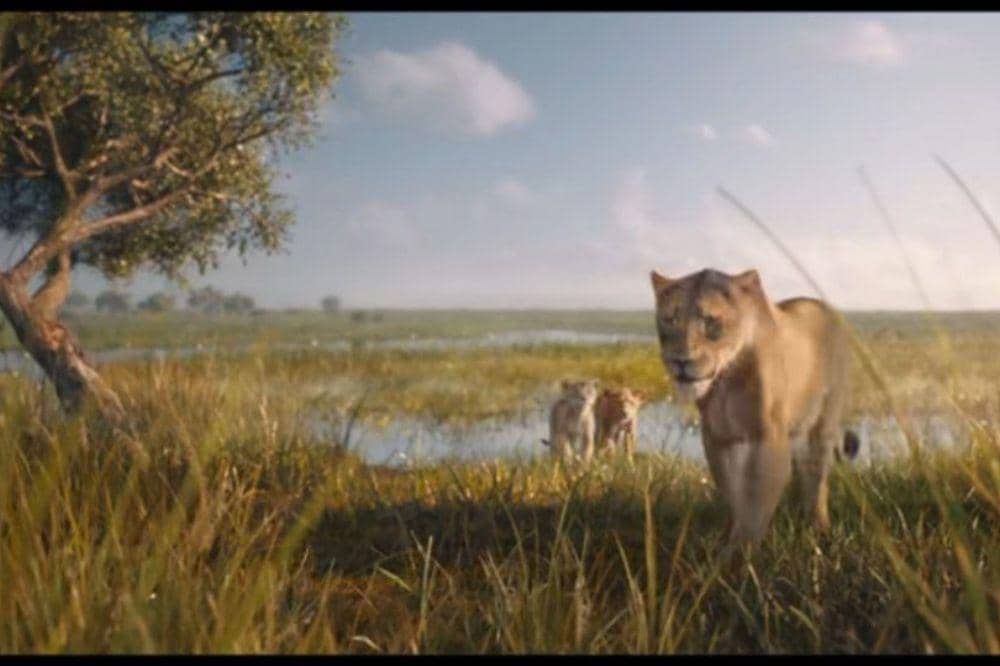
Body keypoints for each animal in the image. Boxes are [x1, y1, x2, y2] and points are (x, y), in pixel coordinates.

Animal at [649, 267, 859, 558]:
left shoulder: (767, 438)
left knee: (816, 476)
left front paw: (738, 556)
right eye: (670, 319)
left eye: (710, 321)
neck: (725, 382)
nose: (680, 361)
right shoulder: (718, 439)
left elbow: (756, 502)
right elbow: (734, 494)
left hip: (823, 422)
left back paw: (819, 530)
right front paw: (727, 540)